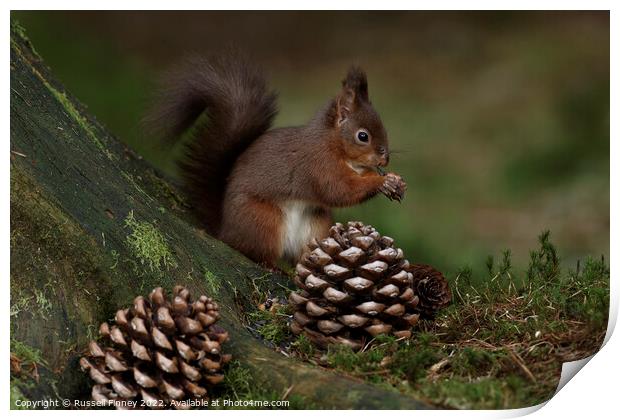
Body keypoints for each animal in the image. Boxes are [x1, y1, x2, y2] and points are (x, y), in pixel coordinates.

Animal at [145, 55, 406, 266]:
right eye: (363, 136)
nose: (385, 158)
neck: (333, 145)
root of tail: (224, 230)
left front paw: (395, 180)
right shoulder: (318, 165)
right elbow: (339, 190)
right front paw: (380, 182)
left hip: (317, 225)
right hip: (264, 221)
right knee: (256, 252)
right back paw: (272, 266)